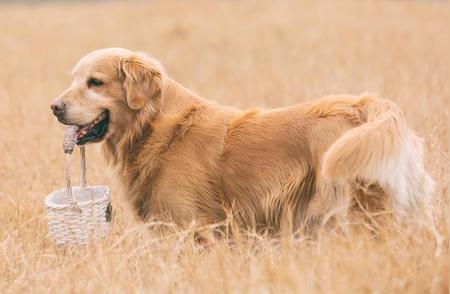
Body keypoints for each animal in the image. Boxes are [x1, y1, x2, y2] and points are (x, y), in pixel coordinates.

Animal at [51, 47, 434, 233]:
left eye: (95, 83)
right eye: (73, 79)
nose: (55, 107)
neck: (154, 126)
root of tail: (368, 105)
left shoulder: (190, 228)